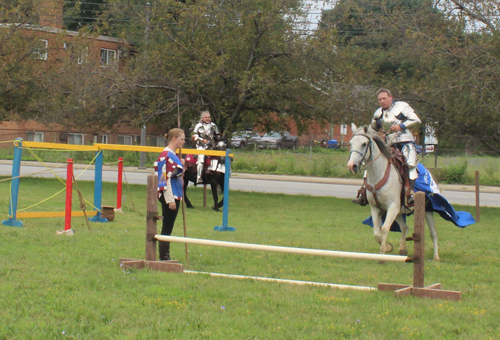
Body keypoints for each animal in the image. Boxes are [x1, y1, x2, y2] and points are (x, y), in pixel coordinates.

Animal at [346, 126, 440, 262]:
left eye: (364, 144)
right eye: (351, 143)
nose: (352, 166)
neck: (379, 175)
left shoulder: (392, 207)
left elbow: (385, 228)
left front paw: (383, 254)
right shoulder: (376, 209)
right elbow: (377, 233)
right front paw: (388, 247)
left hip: (426, 210)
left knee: (433, 233)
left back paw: (436, 257)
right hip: (399, 212)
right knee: (405, 227)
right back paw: (403, 249)